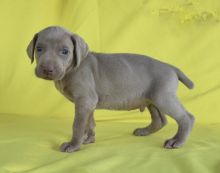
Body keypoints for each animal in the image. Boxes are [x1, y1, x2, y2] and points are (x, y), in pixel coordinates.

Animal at [27, 25, 194, 153]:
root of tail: (171, 67)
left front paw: (73, 145)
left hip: (163, 97)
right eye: (39, 49)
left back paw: (177, 141)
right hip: (152, 98)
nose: (47, 69)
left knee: (186, 117)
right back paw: (144, 131)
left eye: (65, 51)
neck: (72, 69)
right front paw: (88, 139)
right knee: (160, 120)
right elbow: (89, 123)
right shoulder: (88, 104)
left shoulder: (85, 100)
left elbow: (78, 125)